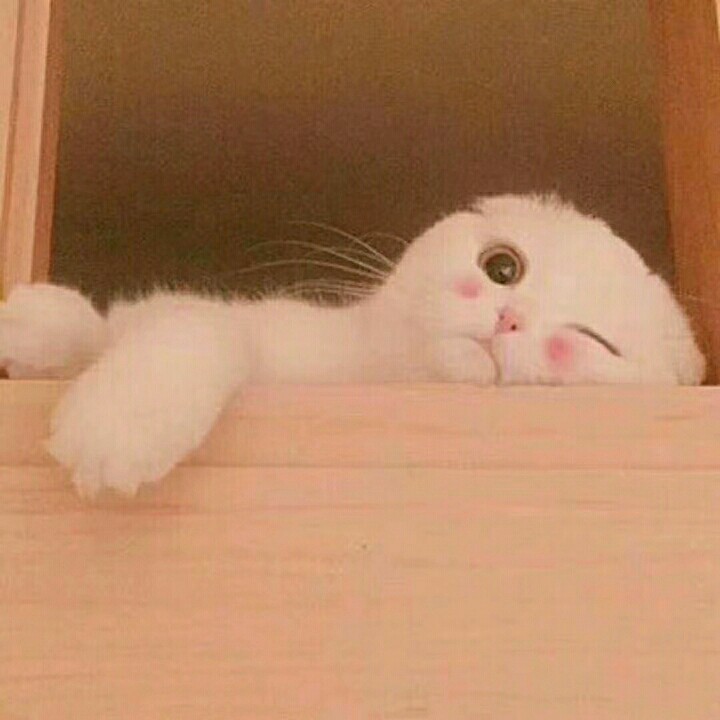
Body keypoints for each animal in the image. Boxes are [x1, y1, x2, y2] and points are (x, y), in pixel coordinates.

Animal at [0, 194, 705, 497]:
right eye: (503, 267)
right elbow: (162, 323)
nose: (510, 318)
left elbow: (194, 329)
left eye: (590, 342)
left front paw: (118, 427)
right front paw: (34, 325)